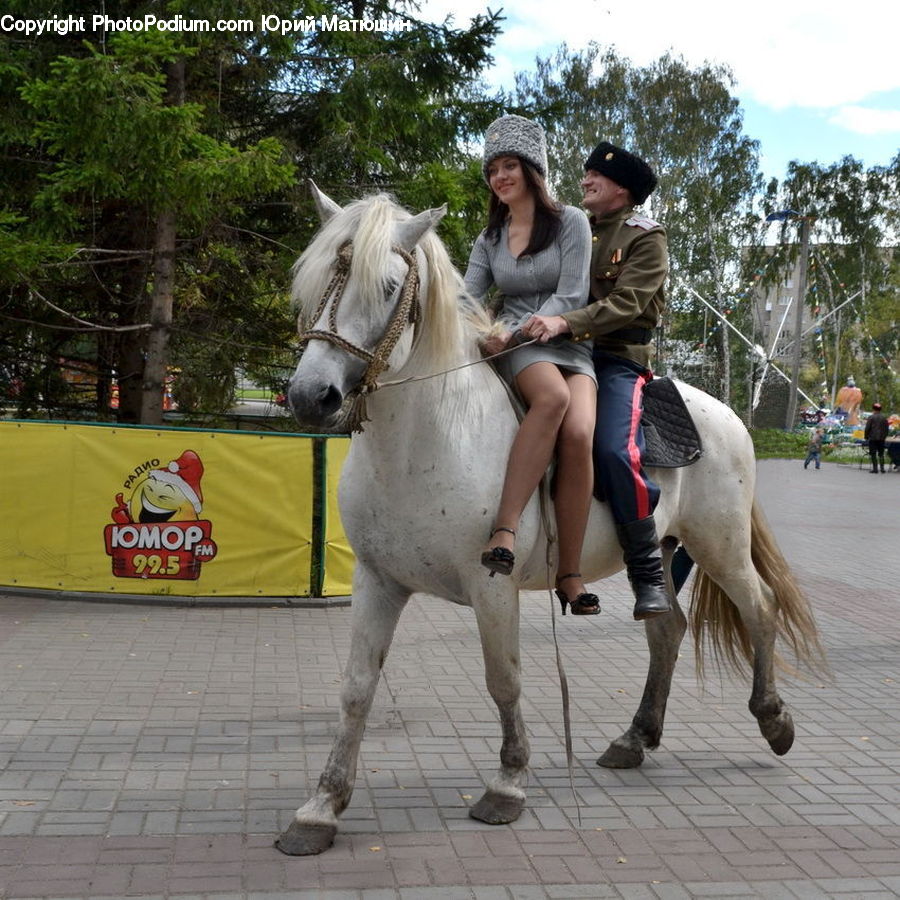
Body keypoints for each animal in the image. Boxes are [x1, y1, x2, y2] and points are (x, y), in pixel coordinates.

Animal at [276, 184, 825, 856]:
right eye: (315, 279)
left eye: (386, 287)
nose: (311, 396)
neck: (426, 438)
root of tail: (726, 416)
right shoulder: (376, 583)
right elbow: (356, 688)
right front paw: (321, 808)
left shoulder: (492, 585)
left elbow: (504, 679)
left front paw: (508, 784)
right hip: (661, 551)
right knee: (667, 630)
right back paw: (634, 738)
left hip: (719, 545)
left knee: (760, 608)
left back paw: (774, 720)